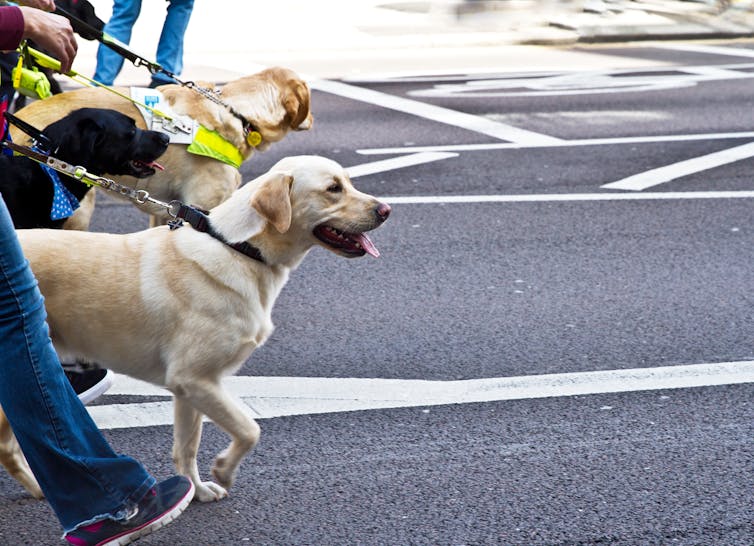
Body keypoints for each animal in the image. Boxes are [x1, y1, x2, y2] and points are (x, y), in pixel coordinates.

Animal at [0, 155, 388, 500]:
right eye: (333, 188)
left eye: (348, 182)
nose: (386, 210)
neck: (240, 248)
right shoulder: (194, 379)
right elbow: (250, 429)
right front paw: (224, 469)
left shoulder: (191, 388)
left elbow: (186, 447)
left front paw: (197, 490)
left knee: (8, 446)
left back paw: (41, 490)